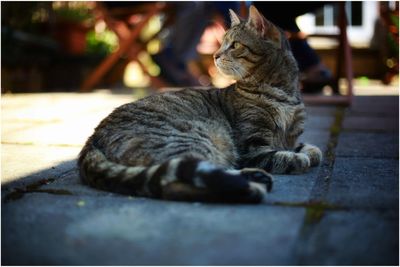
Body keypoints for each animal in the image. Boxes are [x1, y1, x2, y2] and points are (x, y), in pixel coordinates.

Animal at [77, 5, 322, 203]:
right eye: (222, 44)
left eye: (235, 45)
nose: (214, 55)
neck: (283, 95)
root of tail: (91, 141)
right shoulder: (252, 147)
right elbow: (282, 156)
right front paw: (298, 159)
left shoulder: (289, 138)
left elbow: (310, 149)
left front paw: (308, 151)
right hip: (193, 139)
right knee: (176, 182)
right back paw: (251, 188)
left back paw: (254, 178)